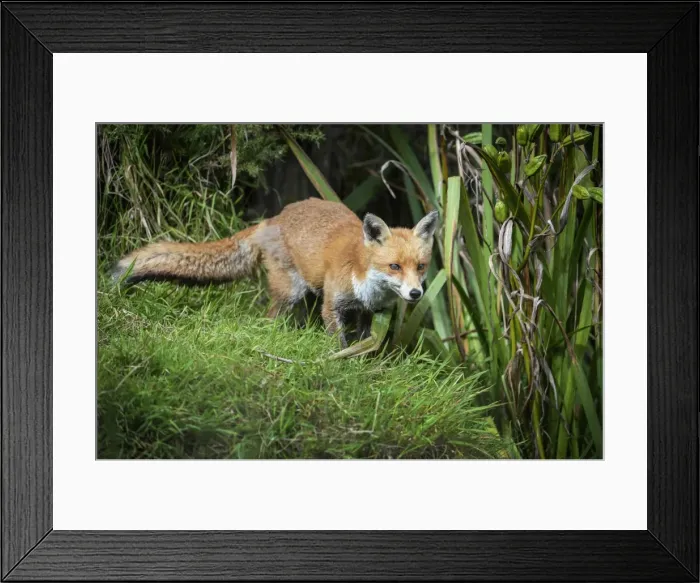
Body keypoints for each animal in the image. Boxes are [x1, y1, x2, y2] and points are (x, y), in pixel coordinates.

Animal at [113, 198, 439, 347]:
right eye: (394, 266)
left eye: (420, 267)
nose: (415, 293)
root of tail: (273, 218)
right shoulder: (333, 306)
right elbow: (339, 343)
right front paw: (341, 363)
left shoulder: (366, 311)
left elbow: (362, 341)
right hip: (290, 292)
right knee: (269, 318)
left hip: (306, 293)